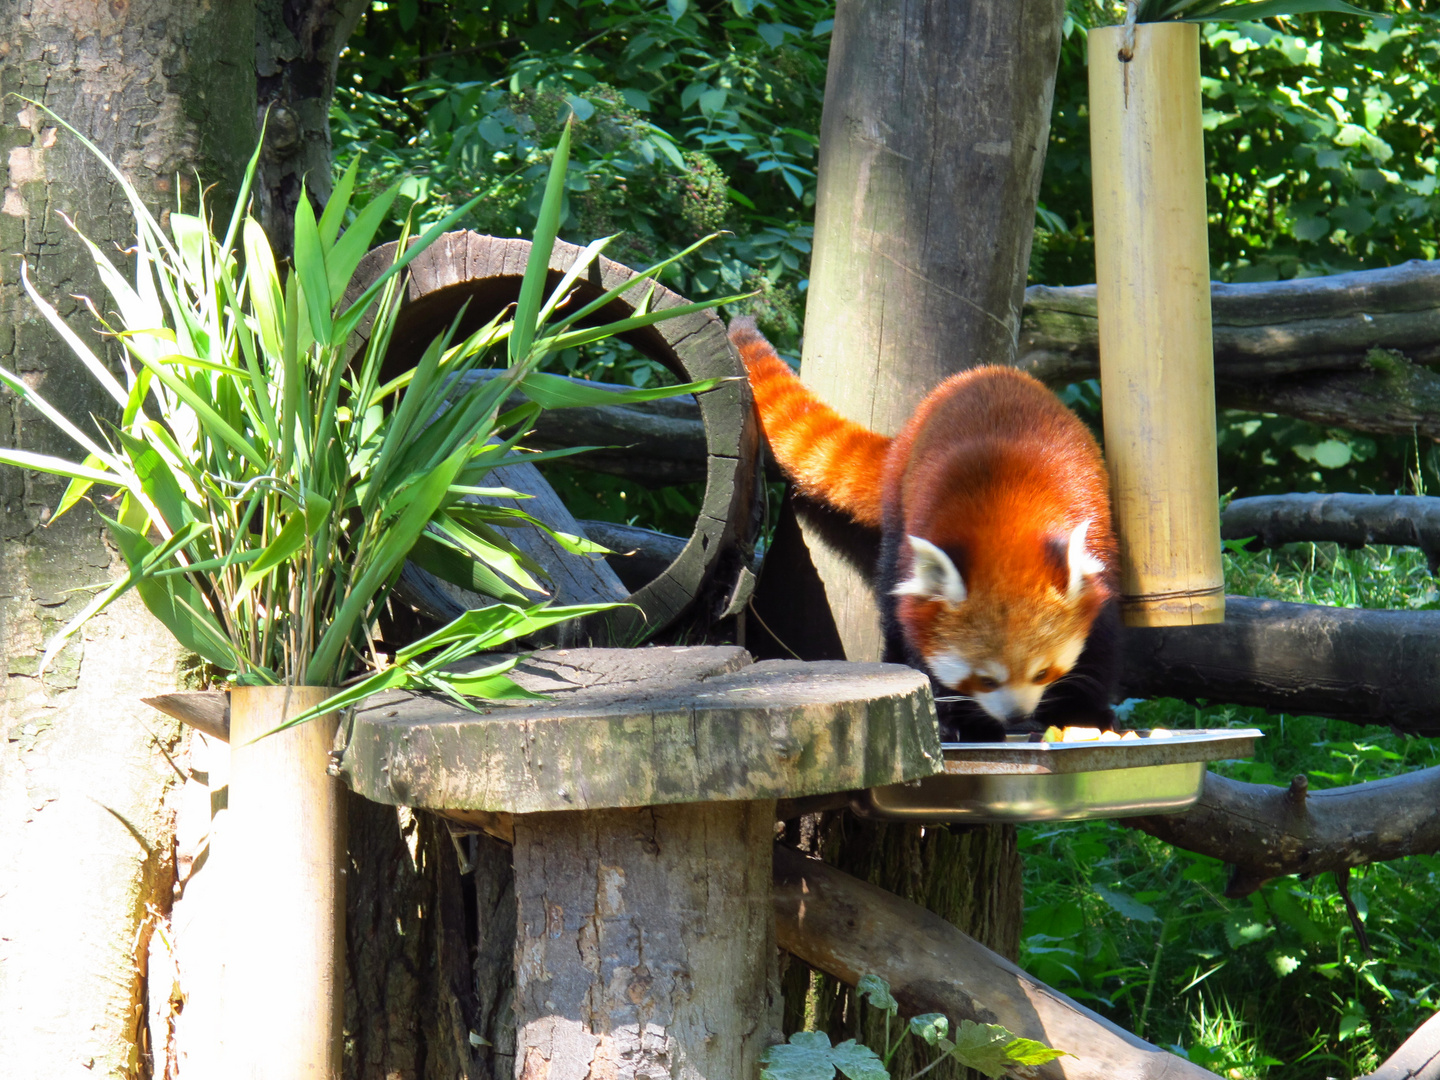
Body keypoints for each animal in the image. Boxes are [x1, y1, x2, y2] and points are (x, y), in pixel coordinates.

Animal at [731, 315, 1123, 743]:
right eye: (985, 680)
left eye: (1042, 672)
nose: (1016, 715)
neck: (1006, 513)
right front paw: (960, 721)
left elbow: (1100, 644)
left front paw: (1086, 713)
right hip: (900, 500)